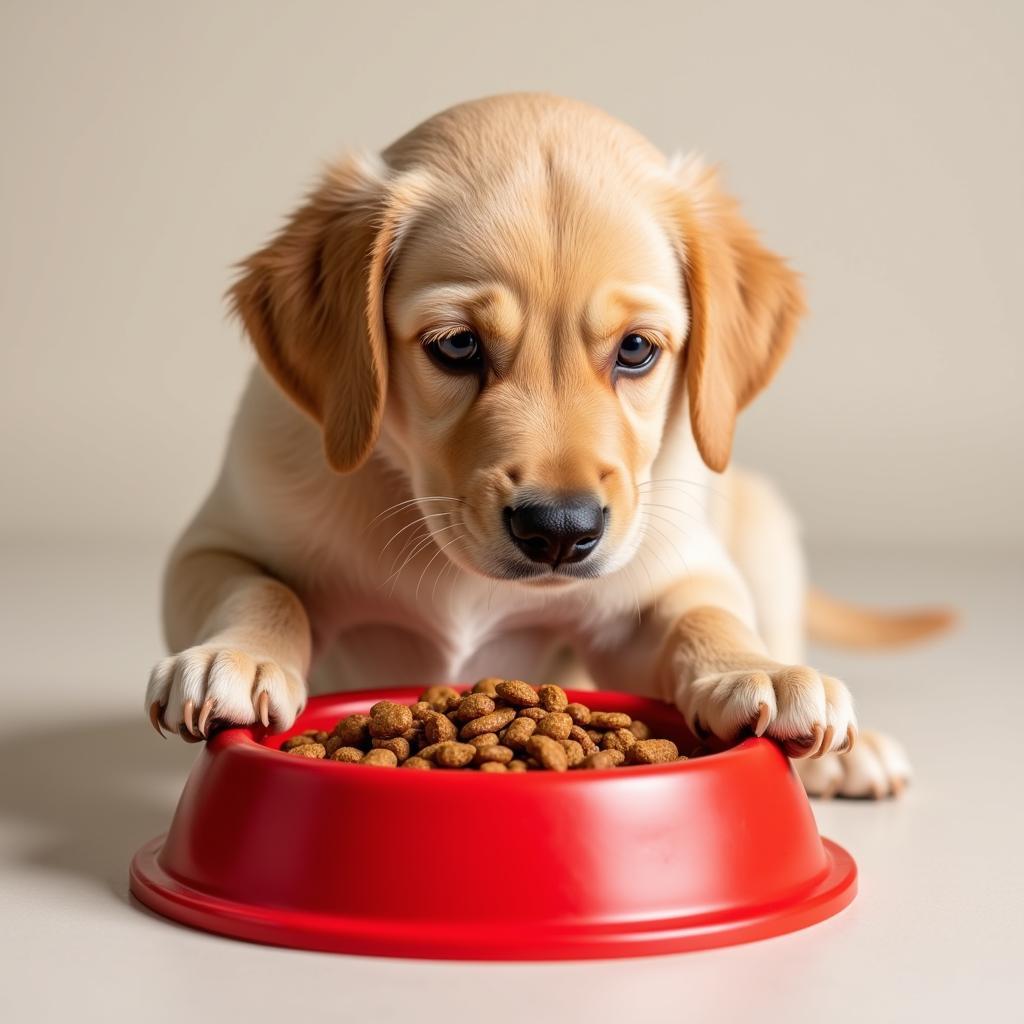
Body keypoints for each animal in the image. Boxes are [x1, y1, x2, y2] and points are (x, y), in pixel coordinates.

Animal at [146, 94, 950, 798]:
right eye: (456, 345)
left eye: (636, 350)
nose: (560, 532)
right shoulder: (216, 542)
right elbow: (262, 588)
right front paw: (234, 658)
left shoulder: (654, 585)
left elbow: (704, 613)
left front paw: (754, 671)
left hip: (763, 526)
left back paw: (844, 754)